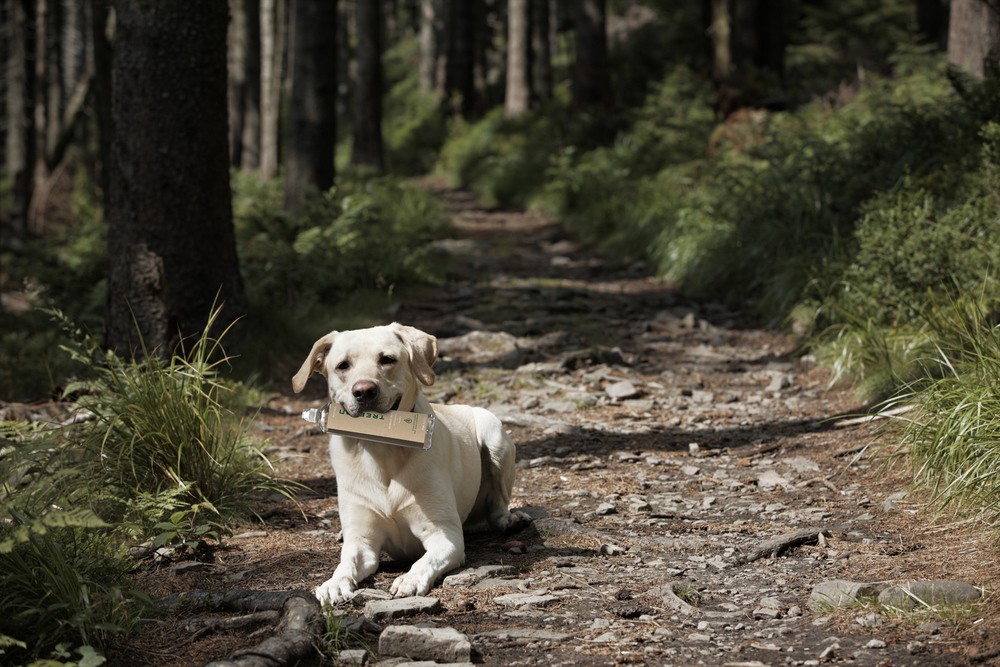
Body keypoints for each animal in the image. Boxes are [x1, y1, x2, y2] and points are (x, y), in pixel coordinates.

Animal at [292, 323, 531, 604]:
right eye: (343, 365)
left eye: (387, 359)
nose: (364, 391)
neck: (380, 449)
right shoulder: (362, 541)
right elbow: (345, 564)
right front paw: (333, 584)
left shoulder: (444, 534)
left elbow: (424, 561)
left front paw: (410, 579)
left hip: (494, 435)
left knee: (497, 504)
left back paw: (509, 520)